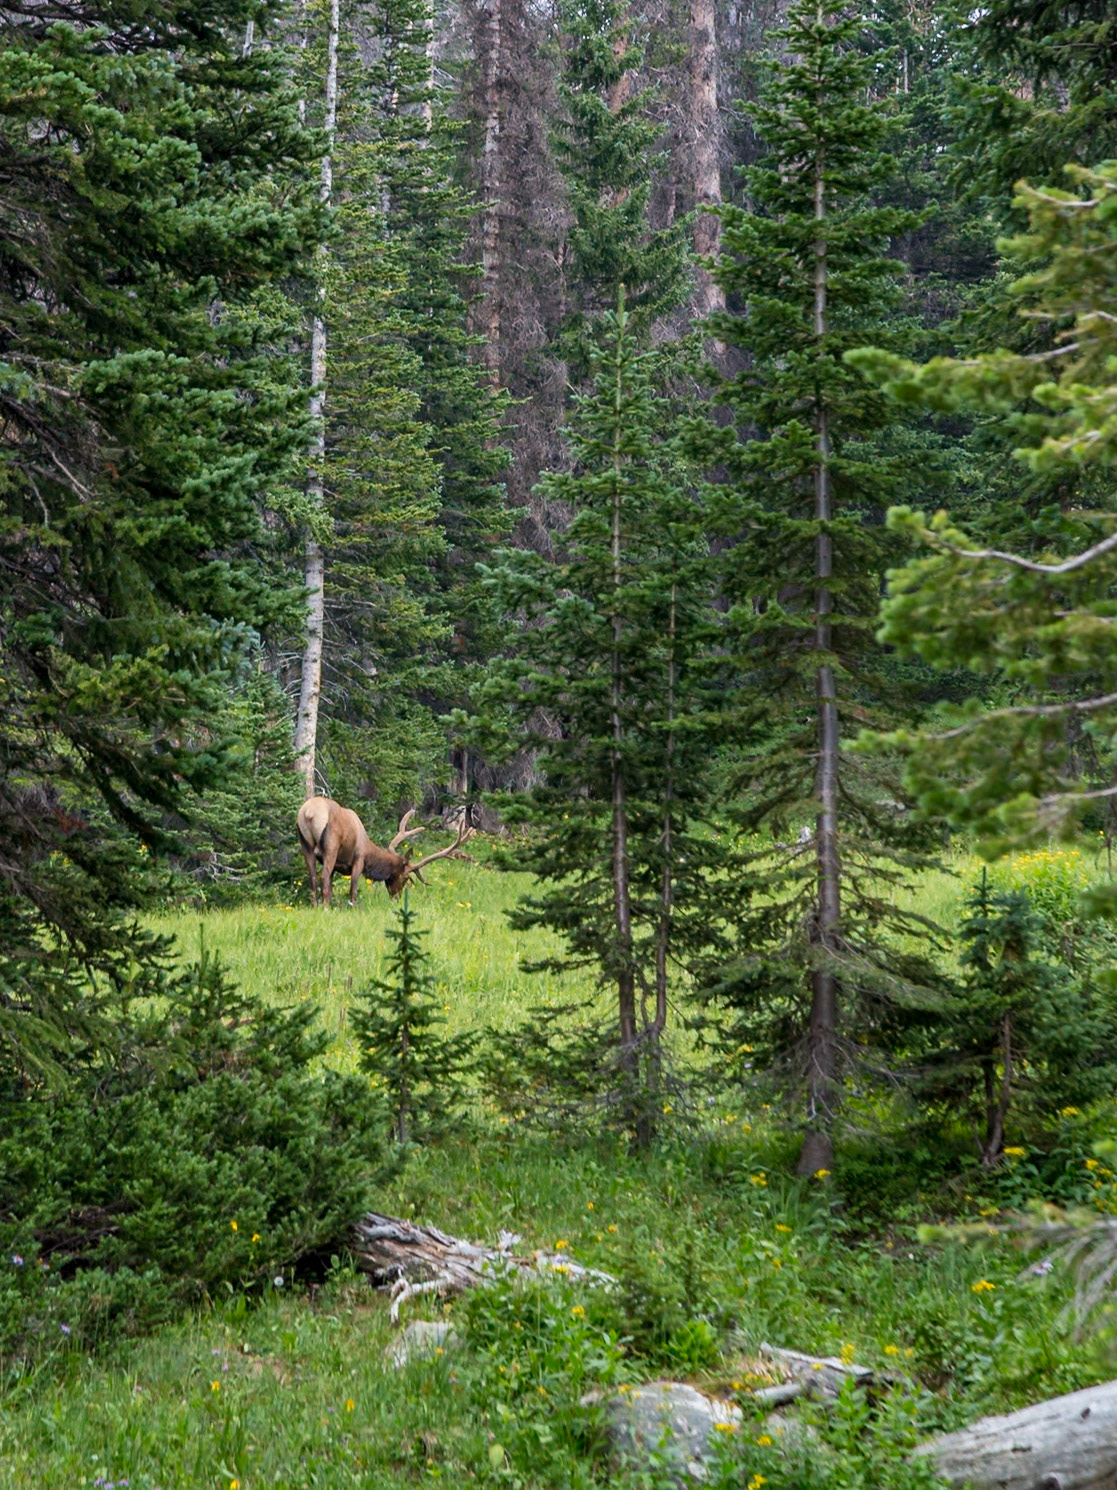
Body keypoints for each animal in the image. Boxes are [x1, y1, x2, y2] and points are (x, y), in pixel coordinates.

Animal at [295, 797, 475, 908]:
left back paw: (316, 906)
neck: (369, 851)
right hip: (331, 846)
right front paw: (353, 908)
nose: (396, 898)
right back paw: (324, 908)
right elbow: (353, 890)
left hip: (305, 846)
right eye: (405, 878)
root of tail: (308, 813)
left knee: (312, 879)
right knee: (323, 878)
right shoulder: (359, 859)